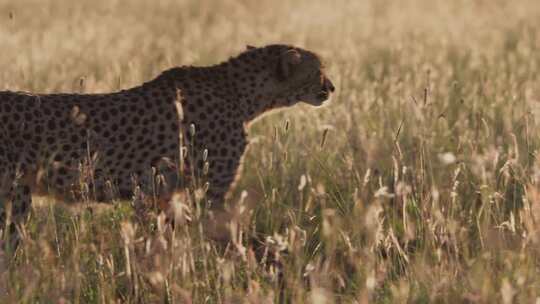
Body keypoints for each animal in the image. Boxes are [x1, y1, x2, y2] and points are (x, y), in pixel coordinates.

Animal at [0, 44, 334, 236]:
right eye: (318, 70)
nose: (331, 87)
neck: (244, 95)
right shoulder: (209, 195)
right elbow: (238, 239)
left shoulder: (163, 193)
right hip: (15, 199)